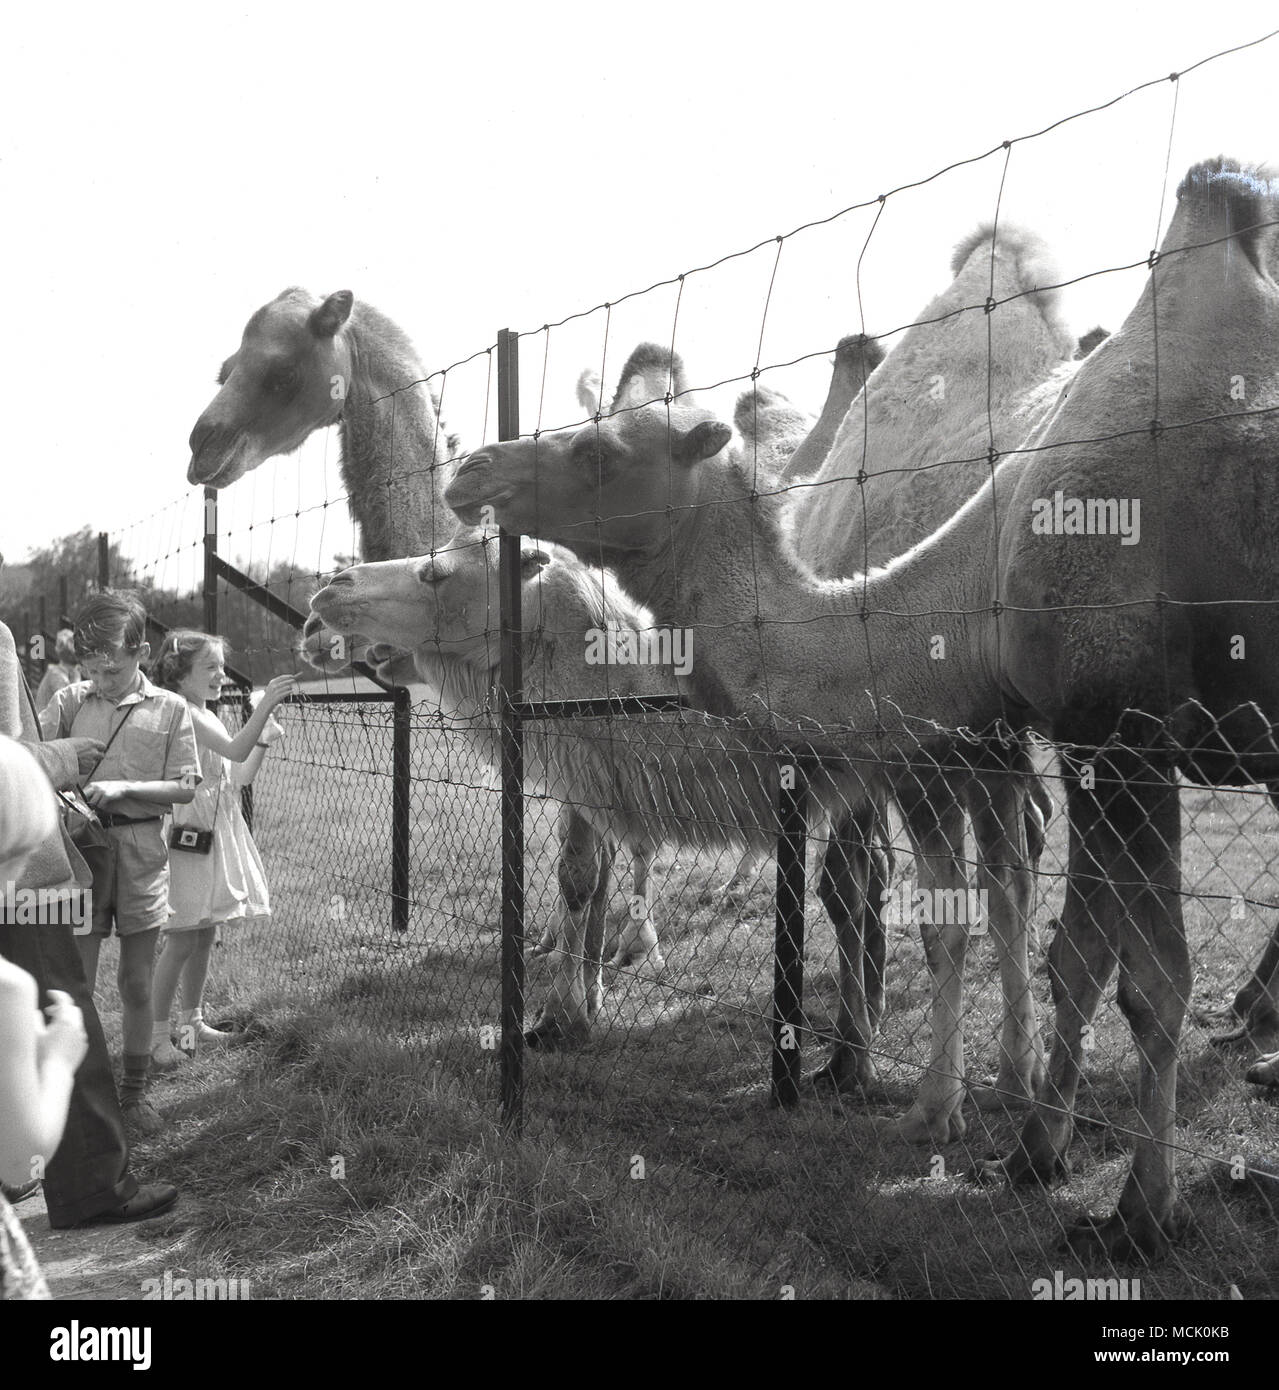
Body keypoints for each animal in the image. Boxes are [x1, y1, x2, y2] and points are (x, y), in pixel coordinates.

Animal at [442, 154, 1279, 1262]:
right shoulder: (1073, 738)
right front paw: (1031, 1152)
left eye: (599, 452)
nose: (469, 469)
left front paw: (1137, 1211)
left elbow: (1145, 979)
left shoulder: (1120, 727)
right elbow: (1075, 951)